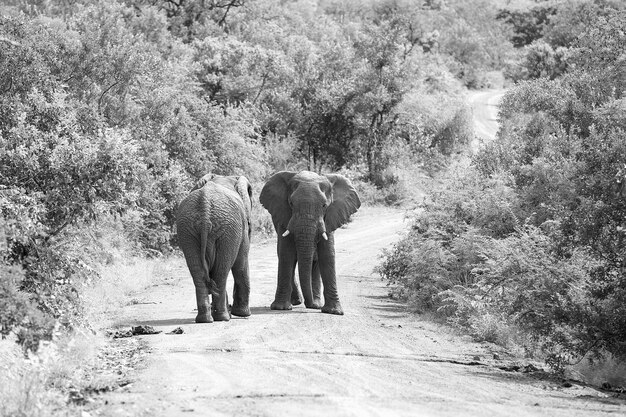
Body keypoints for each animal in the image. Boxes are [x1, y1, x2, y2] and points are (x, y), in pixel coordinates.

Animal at [176, 172, 251, 322]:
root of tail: (205, 209)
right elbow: (241, 264)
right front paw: (243, 314)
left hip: (187, 229)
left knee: (200, 274)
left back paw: (205, 319)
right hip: (228, 230)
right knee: (221, 273)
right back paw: (223, 318)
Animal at [258, 171, 358, 314]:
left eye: (324, 205)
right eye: (291, 203)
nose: (308, 305)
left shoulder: (330, 217)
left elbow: (327, 255)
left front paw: (334, 312)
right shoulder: (284, 217)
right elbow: (286, 254)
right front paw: (280, 308)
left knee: (315, 262)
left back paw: (315, 304)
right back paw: (297, 302)